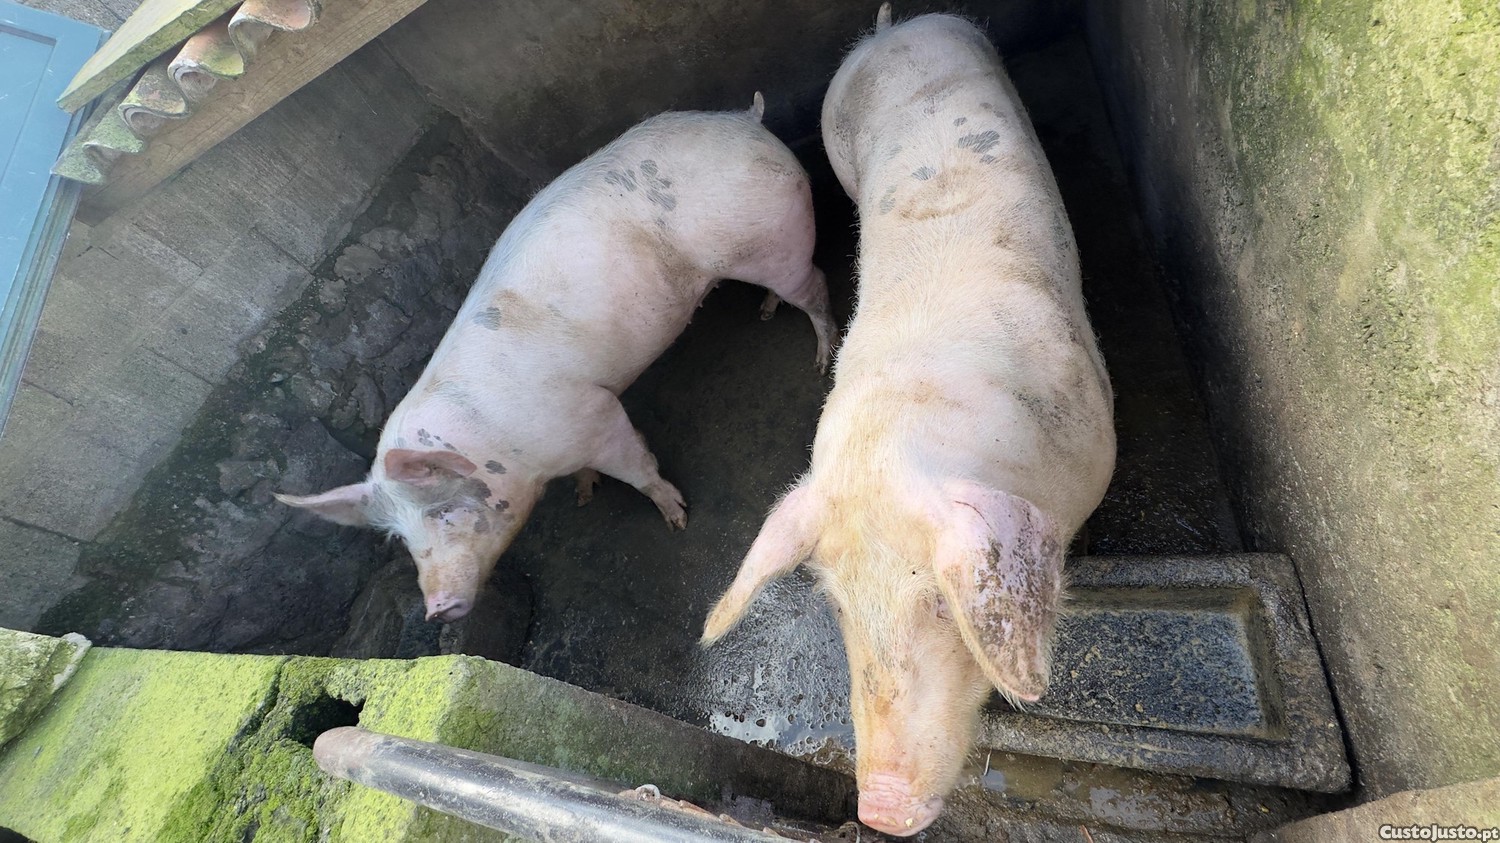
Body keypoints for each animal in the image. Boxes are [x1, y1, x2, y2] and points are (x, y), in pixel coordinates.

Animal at [277, 95, 836, 623]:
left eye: (444, 510)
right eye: (399, 537)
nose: (436, 609)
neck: (506, 446)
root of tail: (746, 121)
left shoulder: (597, 415)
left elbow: (638, 468)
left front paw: (676, 518)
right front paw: (586, 495)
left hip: (776, 243)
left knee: (816, 286)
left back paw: (820, 360)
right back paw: (765, 314)